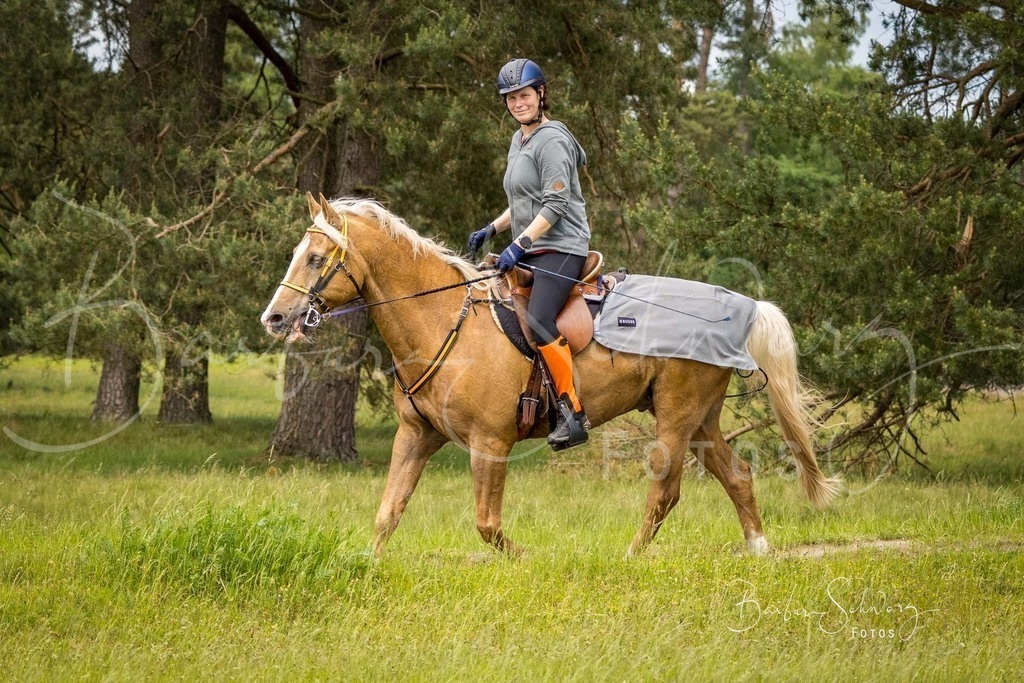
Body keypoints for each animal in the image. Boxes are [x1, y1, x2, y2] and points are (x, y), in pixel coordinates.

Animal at [260, 193, 840, 558]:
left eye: (316, 258)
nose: (275, 318)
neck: (443, 321)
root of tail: (741, 306)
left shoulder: (490, 444)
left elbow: (487, 524)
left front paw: (528, 558)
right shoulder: (416, 436)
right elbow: (388, 512)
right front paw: (368, 564)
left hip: (676, 418)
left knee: (665, 491)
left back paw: (630, 556)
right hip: (701, 419)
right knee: (737, 475)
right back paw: (758, 548)